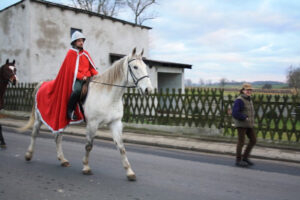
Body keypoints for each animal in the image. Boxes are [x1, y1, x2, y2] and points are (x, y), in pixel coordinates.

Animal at [20, 48, 154, 181]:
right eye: (135, 67)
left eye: (145, 66)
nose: (148, 90)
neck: (107, 95)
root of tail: (42, 84)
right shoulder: (92, 123)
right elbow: (89, 145)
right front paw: (86, 167)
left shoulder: (115, 123)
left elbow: (121, 147)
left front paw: (129, 172)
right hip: (39, 118)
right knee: (35, 133)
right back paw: (28, 155)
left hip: (61, 120)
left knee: (58, 137)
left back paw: (63, 160)